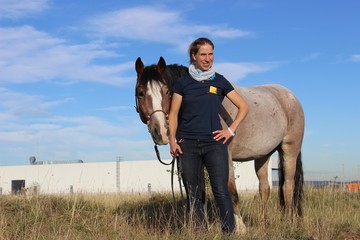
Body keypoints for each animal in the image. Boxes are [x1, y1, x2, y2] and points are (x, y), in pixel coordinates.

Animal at [135, 56, 304, 232]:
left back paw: (289, 222)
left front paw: (240, 228)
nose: (160, 131)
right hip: (263, 155)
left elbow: (231, 191)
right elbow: (198, 193)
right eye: (140, 93)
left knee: (288, 187)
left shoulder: (225, 157)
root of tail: (290, 97)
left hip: (290, 150)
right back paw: (265, 224)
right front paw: (200, 227)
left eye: (167, 92)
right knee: (264, 188)